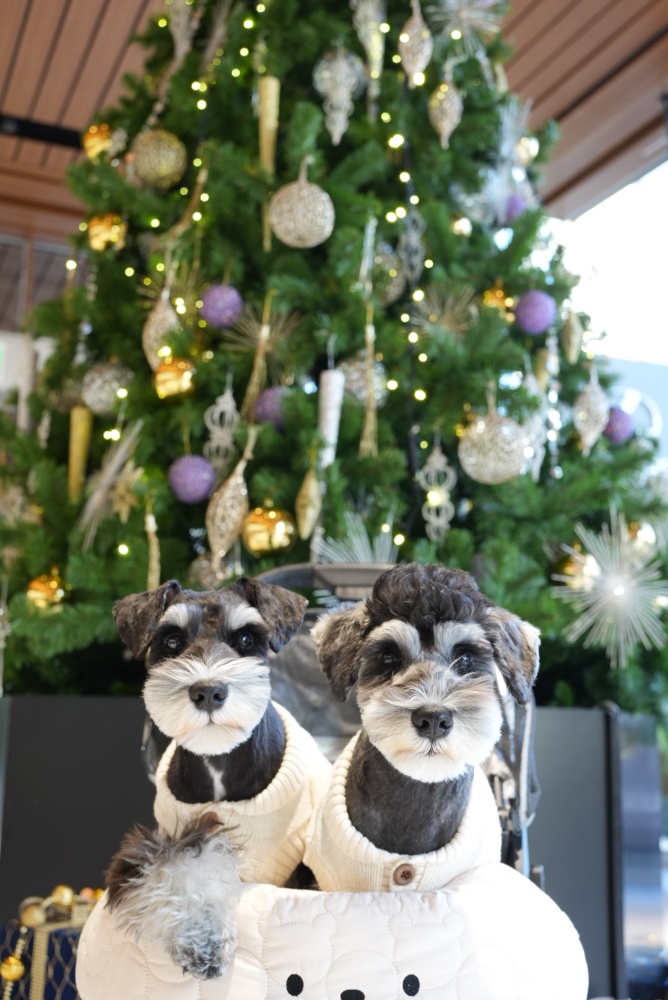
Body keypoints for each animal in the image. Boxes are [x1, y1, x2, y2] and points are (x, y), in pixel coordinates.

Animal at [104, 575, 332, 979]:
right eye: (172, 641)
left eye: (246, 639)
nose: (208, 691)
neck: (218, 760)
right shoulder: (165, 841)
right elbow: (179, 867)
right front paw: (201, 939)